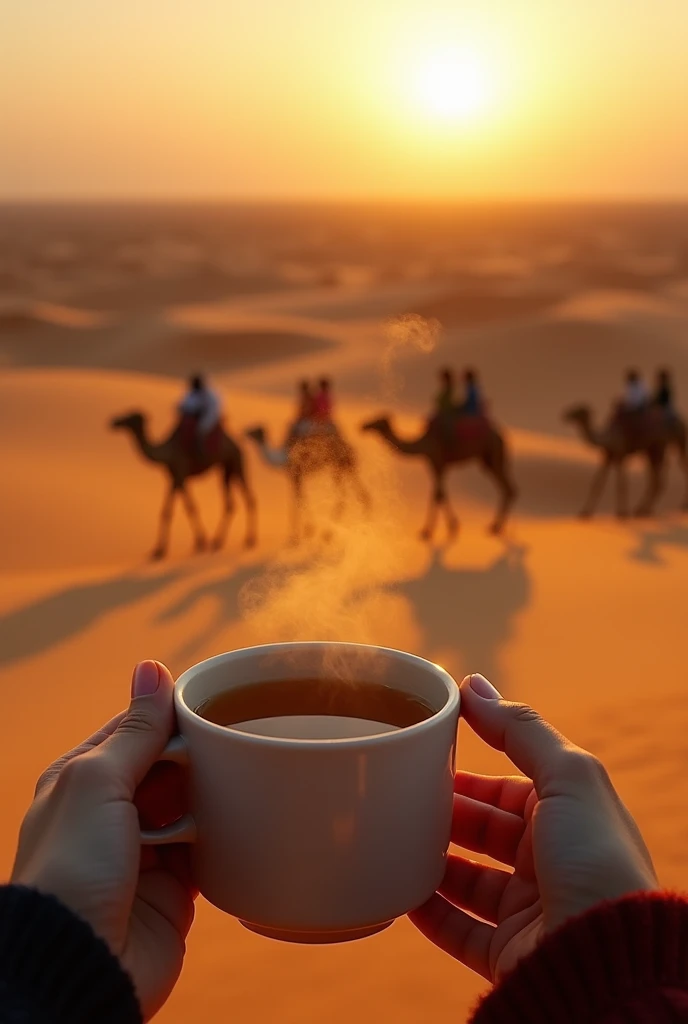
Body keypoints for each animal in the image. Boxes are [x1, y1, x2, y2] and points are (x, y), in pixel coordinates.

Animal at [111, 411, 256, 561]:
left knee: (248, 498)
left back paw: (248, 541)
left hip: (237, 462)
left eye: (130, 416)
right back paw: (218, 542)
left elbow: (190, 507)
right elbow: (166, 511)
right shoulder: (173, 478)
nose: (114, 422)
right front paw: (158, 551)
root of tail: (237, 443)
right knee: (230, 503)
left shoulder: (181, 474)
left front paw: (200, 543)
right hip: (226, 469)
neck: (167, 452)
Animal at [360, 415, 516, 544]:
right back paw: (496, 527)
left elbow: (437, 495)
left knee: (508, 488)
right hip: (487, 459)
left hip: (494, 453)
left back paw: (496, 527)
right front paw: (452, 527)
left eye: (377, 420)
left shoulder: (437, 461)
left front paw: (427, 532)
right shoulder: (436, 465)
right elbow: (441, 494)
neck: (424, 443)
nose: (363, 426)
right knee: (507, 487)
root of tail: (501, 436)